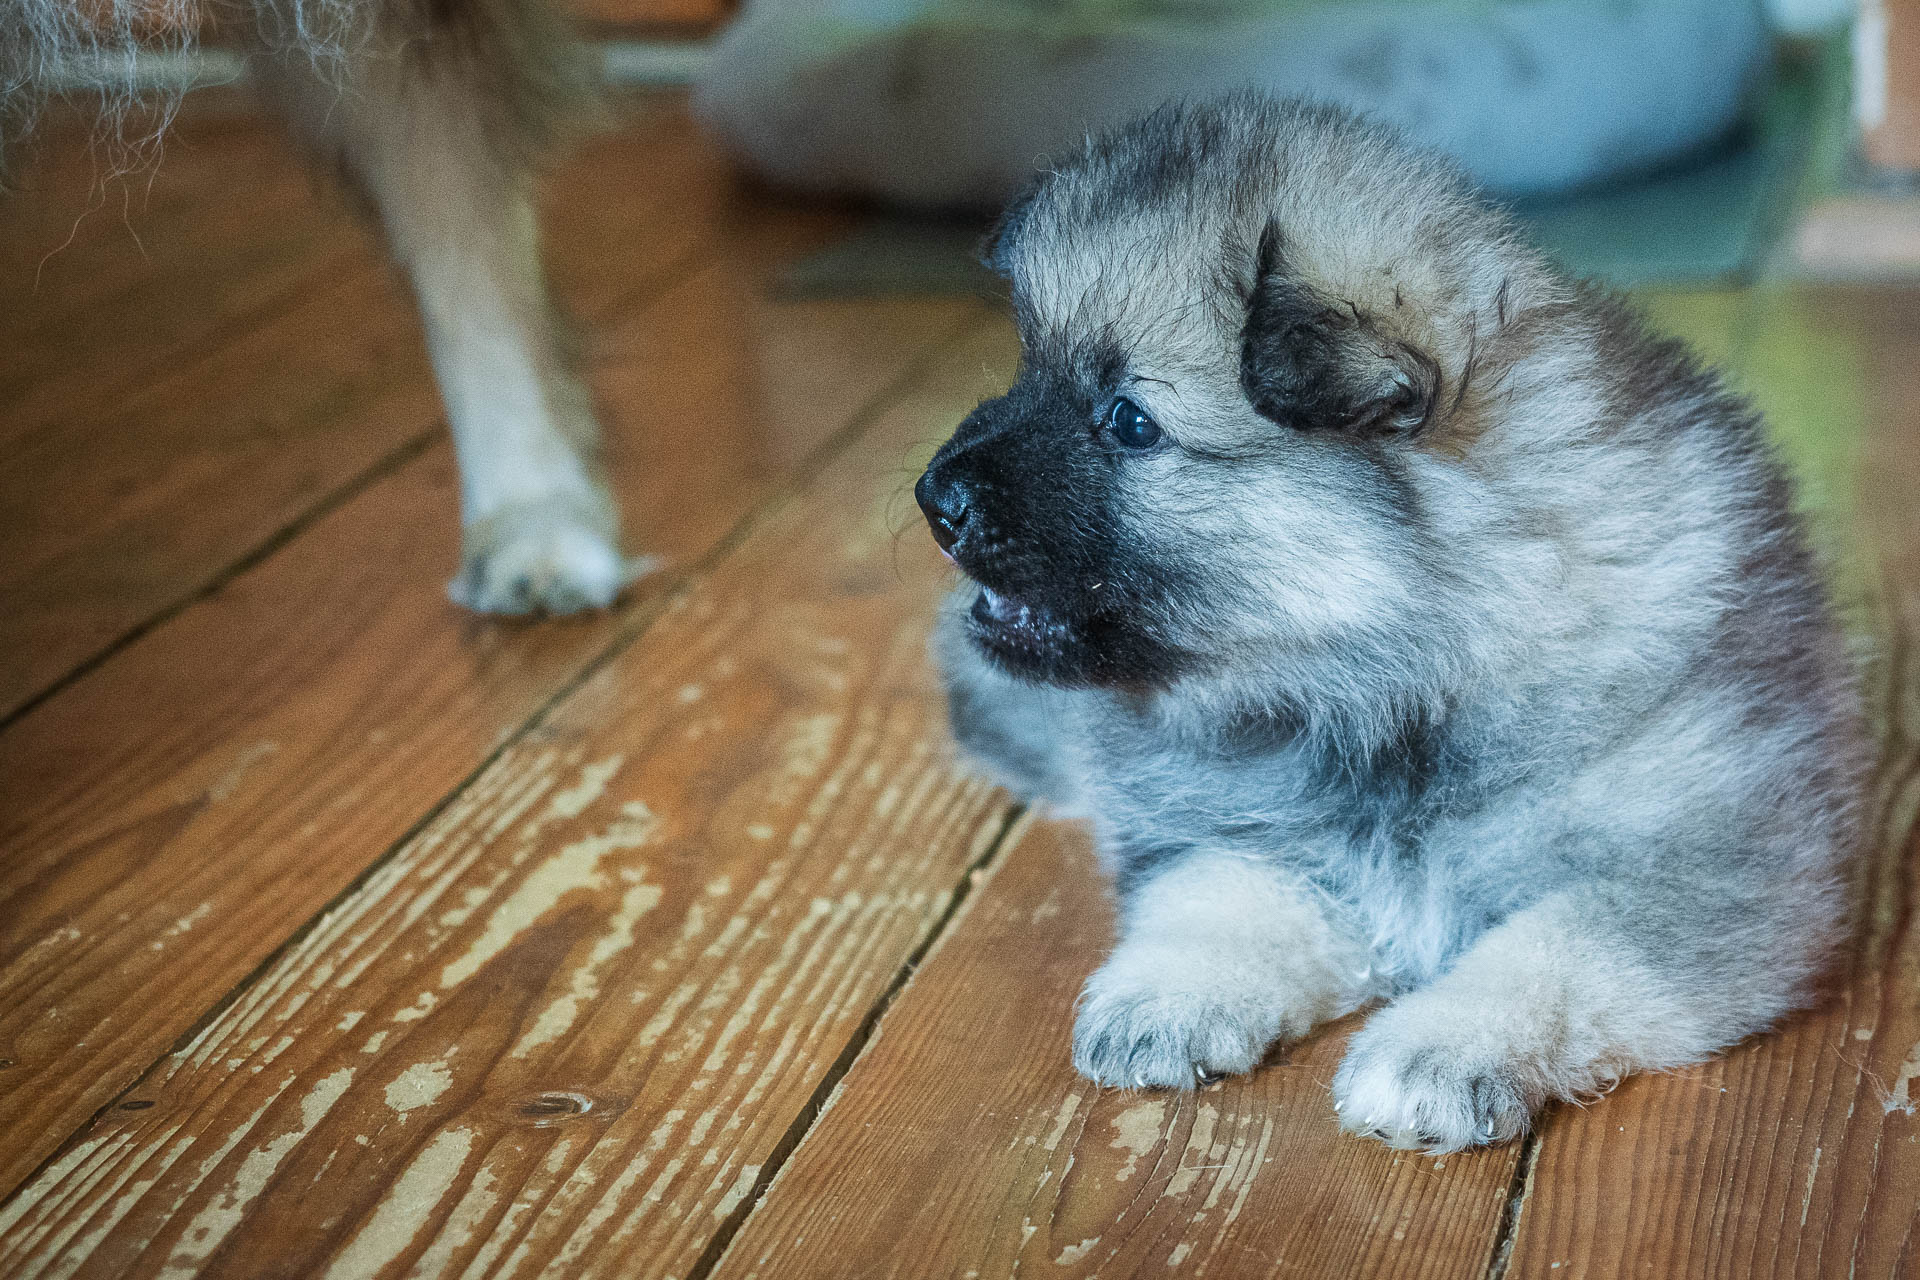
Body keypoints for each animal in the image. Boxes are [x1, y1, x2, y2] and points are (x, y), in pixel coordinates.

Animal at [921, 90, 1866, 1151]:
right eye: (1028, 367)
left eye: (1130, 421)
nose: (933, 498)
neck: (1395, 681)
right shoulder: (1241, 822)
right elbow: (1220, 890)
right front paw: (1167, 993)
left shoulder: (1707, 868)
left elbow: (1557, 944)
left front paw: (1439, 1050)